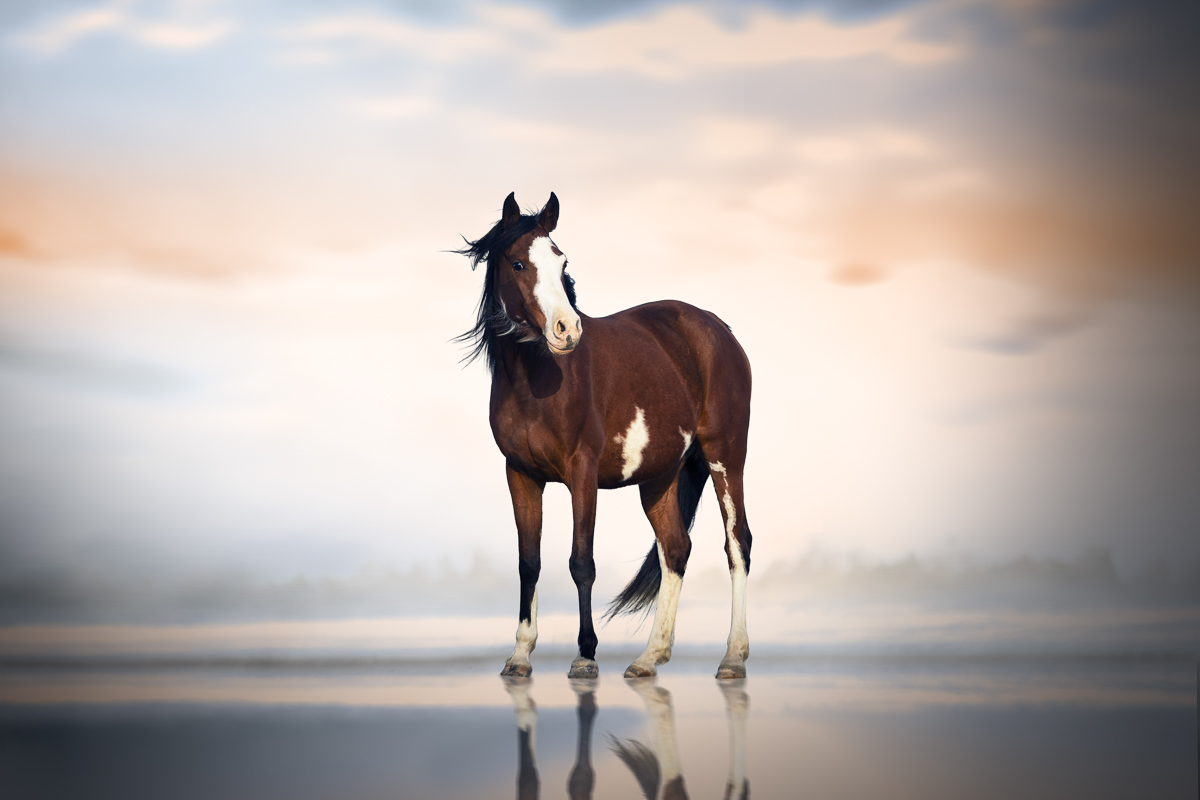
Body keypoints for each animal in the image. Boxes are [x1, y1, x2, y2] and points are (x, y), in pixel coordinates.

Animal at [456, 191, 753, 680]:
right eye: (518, 263)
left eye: (562, 261)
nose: (567, 329)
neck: (537, 380)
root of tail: (716, 328)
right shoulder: (520, 474)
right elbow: (528, 562)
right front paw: (519, 655)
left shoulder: (582, 472)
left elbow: (581, 562)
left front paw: (585, 655)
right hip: (659, 476)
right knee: (676, 549)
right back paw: (650, 657)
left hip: (725, 456)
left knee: (737, 543)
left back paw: (732, 657)